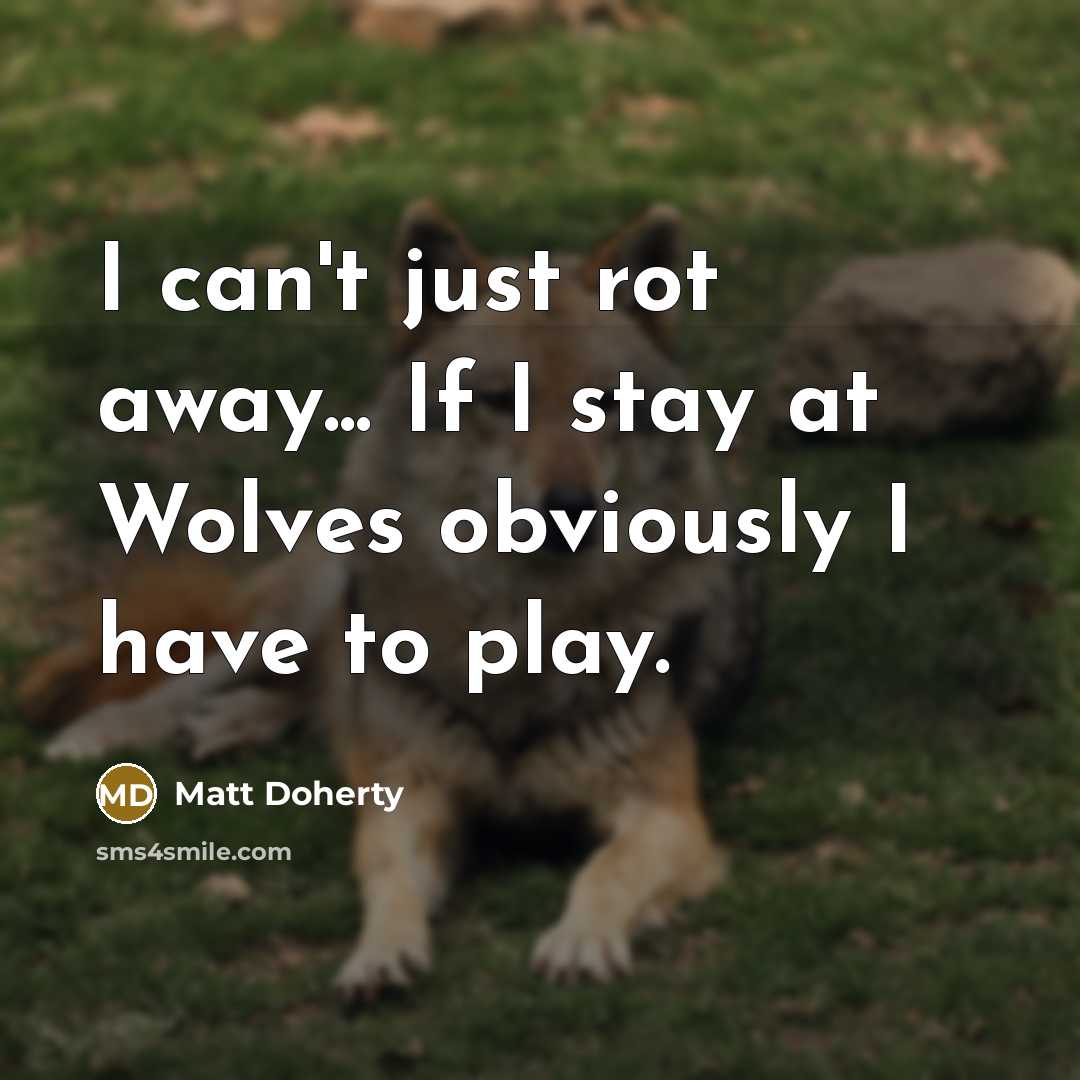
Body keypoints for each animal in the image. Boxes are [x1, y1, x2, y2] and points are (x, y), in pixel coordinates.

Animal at [29, 200, 761, 1003]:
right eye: (498, 400)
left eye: (604, 404)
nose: (571, 504)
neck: (521, 626)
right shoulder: (410, 795)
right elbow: (390, 884)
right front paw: (378, 956)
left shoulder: (664, 815)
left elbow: (606, 871)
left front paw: (581, 941)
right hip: (291, 619)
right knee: (202, 675)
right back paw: (103, 734)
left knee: (313, 697)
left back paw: (230, 725)